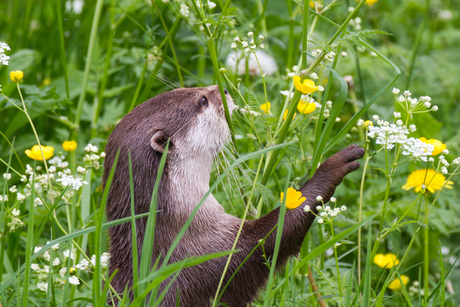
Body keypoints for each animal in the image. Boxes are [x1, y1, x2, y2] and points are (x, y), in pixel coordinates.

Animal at [102, 85, 364, 307]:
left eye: (181, 88)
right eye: (203, 100)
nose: (224, 89)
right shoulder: (216, 257)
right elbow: (275, 235)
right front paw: (333, 166)